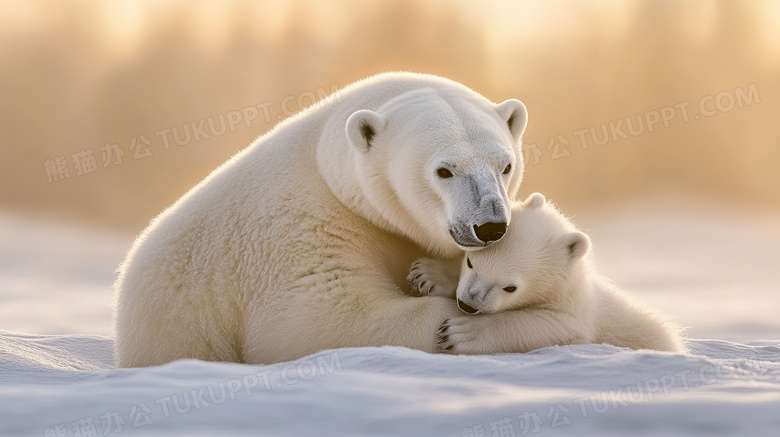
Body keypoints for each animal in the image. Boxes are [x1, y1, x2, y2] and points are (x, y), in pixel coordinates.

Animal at [112, 71, 532, 364]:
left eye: (505, 165)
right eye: (444, 170)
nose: (490, 226)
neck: (329, 163)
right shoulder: (302, 230)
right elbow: (318, 321)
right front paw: (454, 324)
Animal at [406, 193, 684, 354]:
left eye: (510, 288)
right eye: (470, 262)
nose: (466, 304)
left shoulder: (576, 314)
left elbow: (545, 325)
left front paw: (456, 333)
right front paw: (428, 275)